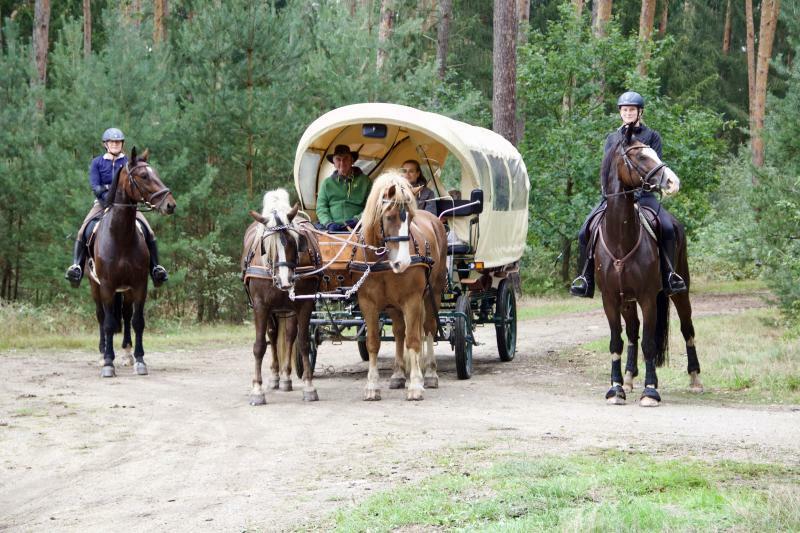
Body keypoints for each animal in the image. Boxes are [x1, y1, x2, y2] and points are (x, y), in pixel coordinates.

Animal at [91, 148, 177, 376]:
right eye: (144, 176)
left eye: (156, 173)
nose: (170, 205)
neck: (121, 236)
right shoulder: (107, 286)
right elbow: (109, 323)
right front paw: (108, 363)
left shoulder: (139, 285)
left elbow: (137, 322)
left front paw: (139, 360)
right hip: (95, 287)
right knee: (101, 316)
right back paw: (102, 354)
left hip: (126, 290)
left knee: (127, 315)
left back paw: (127, 353)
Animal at [241, 189, 322, 402]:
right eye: (267, 246)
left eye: (294, 242)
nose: (286, 281)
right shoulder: (260, 306)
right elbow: (260, 345)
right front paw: (257, 389)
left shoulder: (304, 303)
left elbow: (302, 342)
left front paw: (309, 386)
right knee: (272, 334)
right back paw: (276, 376)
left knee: (289, 336)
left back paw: (285, 377)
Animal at [358, 170, 446, 400]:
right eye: (389, 217)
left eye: (411, 219)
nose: (403, 263)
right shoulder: (367, 303)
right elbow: (373, 342)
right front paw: (372, 386)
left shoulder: (412, 300)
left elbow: (414, 339)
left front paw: (415, 384)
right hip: (393, 305)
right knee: (399, 331)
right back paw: (398, 374)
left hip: (433, 293)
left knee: (428, 327)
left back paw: (430, 373)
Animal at [596, 134, 704, 408]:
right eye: (641, 156)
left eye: (653, 152)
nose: (673, 183)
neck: (621, 238)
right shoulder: (610, 298)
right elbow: (617, 341)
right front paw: (616, 389)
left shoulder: (647, 298)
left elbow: (649, 343)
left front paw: (650, 391)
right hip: (627, 300)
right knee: (633, 332)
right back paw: (628, 378)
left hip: (680, 292)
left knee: (687, 329)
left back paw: (695, 379)